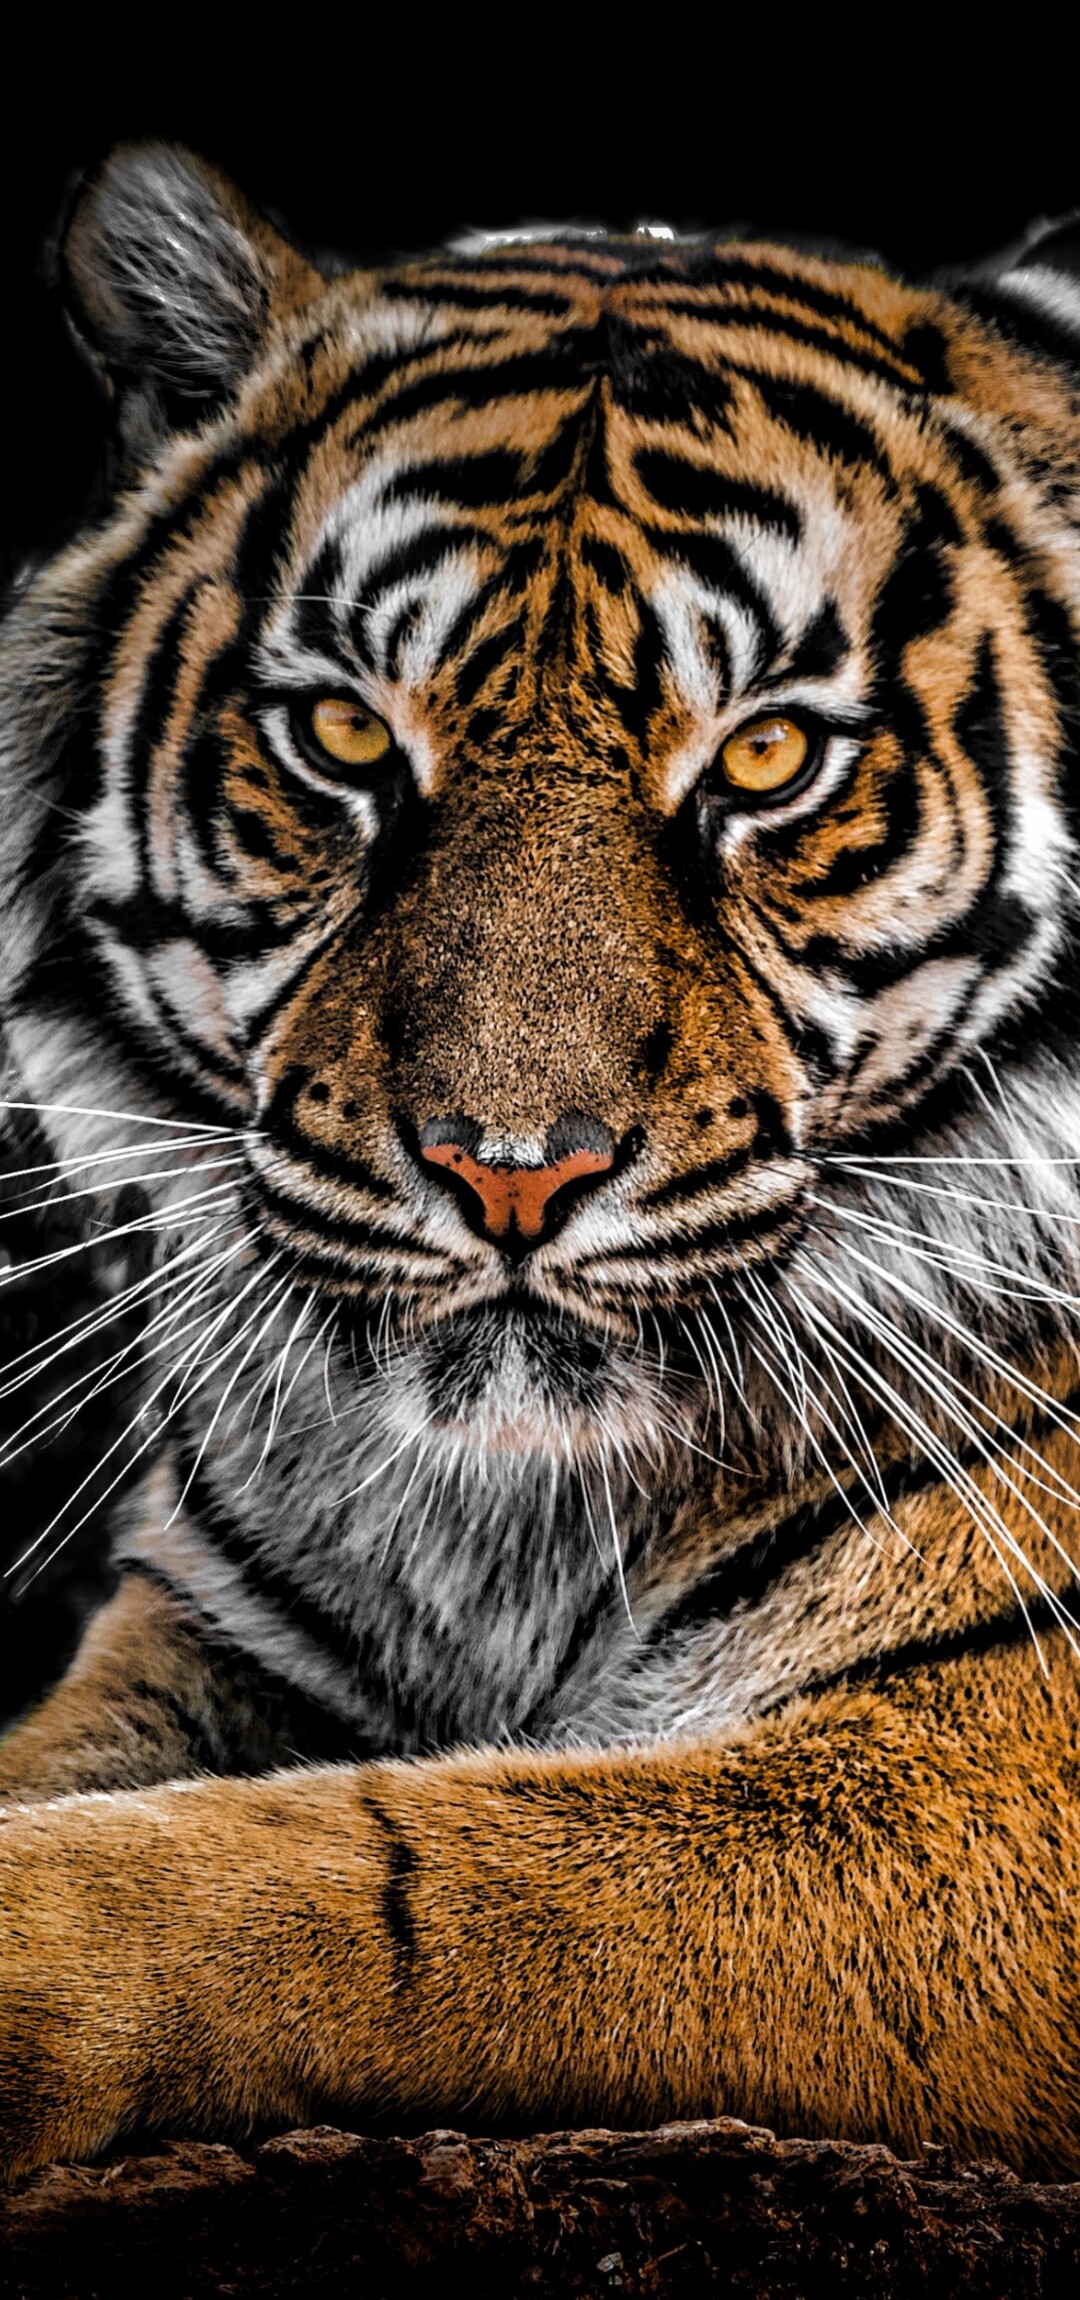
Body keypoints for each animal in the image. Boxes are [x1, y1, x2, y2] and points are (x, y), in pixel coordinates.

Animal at [2, 141, 1080, 2185]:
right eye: (344, 733)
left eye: (769, 760)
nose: (510, 1170)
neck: (514, 1522)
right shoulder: (208, 1639)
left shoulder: (995, 1757)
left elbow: (414, 1870)